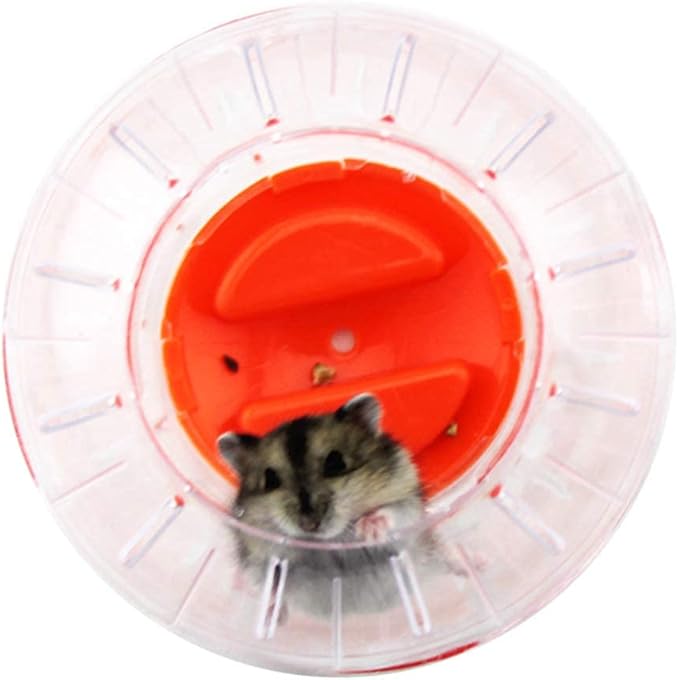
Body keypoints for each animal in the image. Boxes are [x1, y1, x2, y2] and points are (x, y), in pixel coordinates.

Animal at [218, 393, 445, 617]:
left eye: (336, 463)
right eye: (270, 479)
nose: (309, 525)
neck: (330, 542)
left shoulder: (409, 498)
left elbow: (395, 511)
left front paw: (368, 530)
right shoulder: (255, 553)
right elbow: (273, 580)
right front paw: (271, 616)